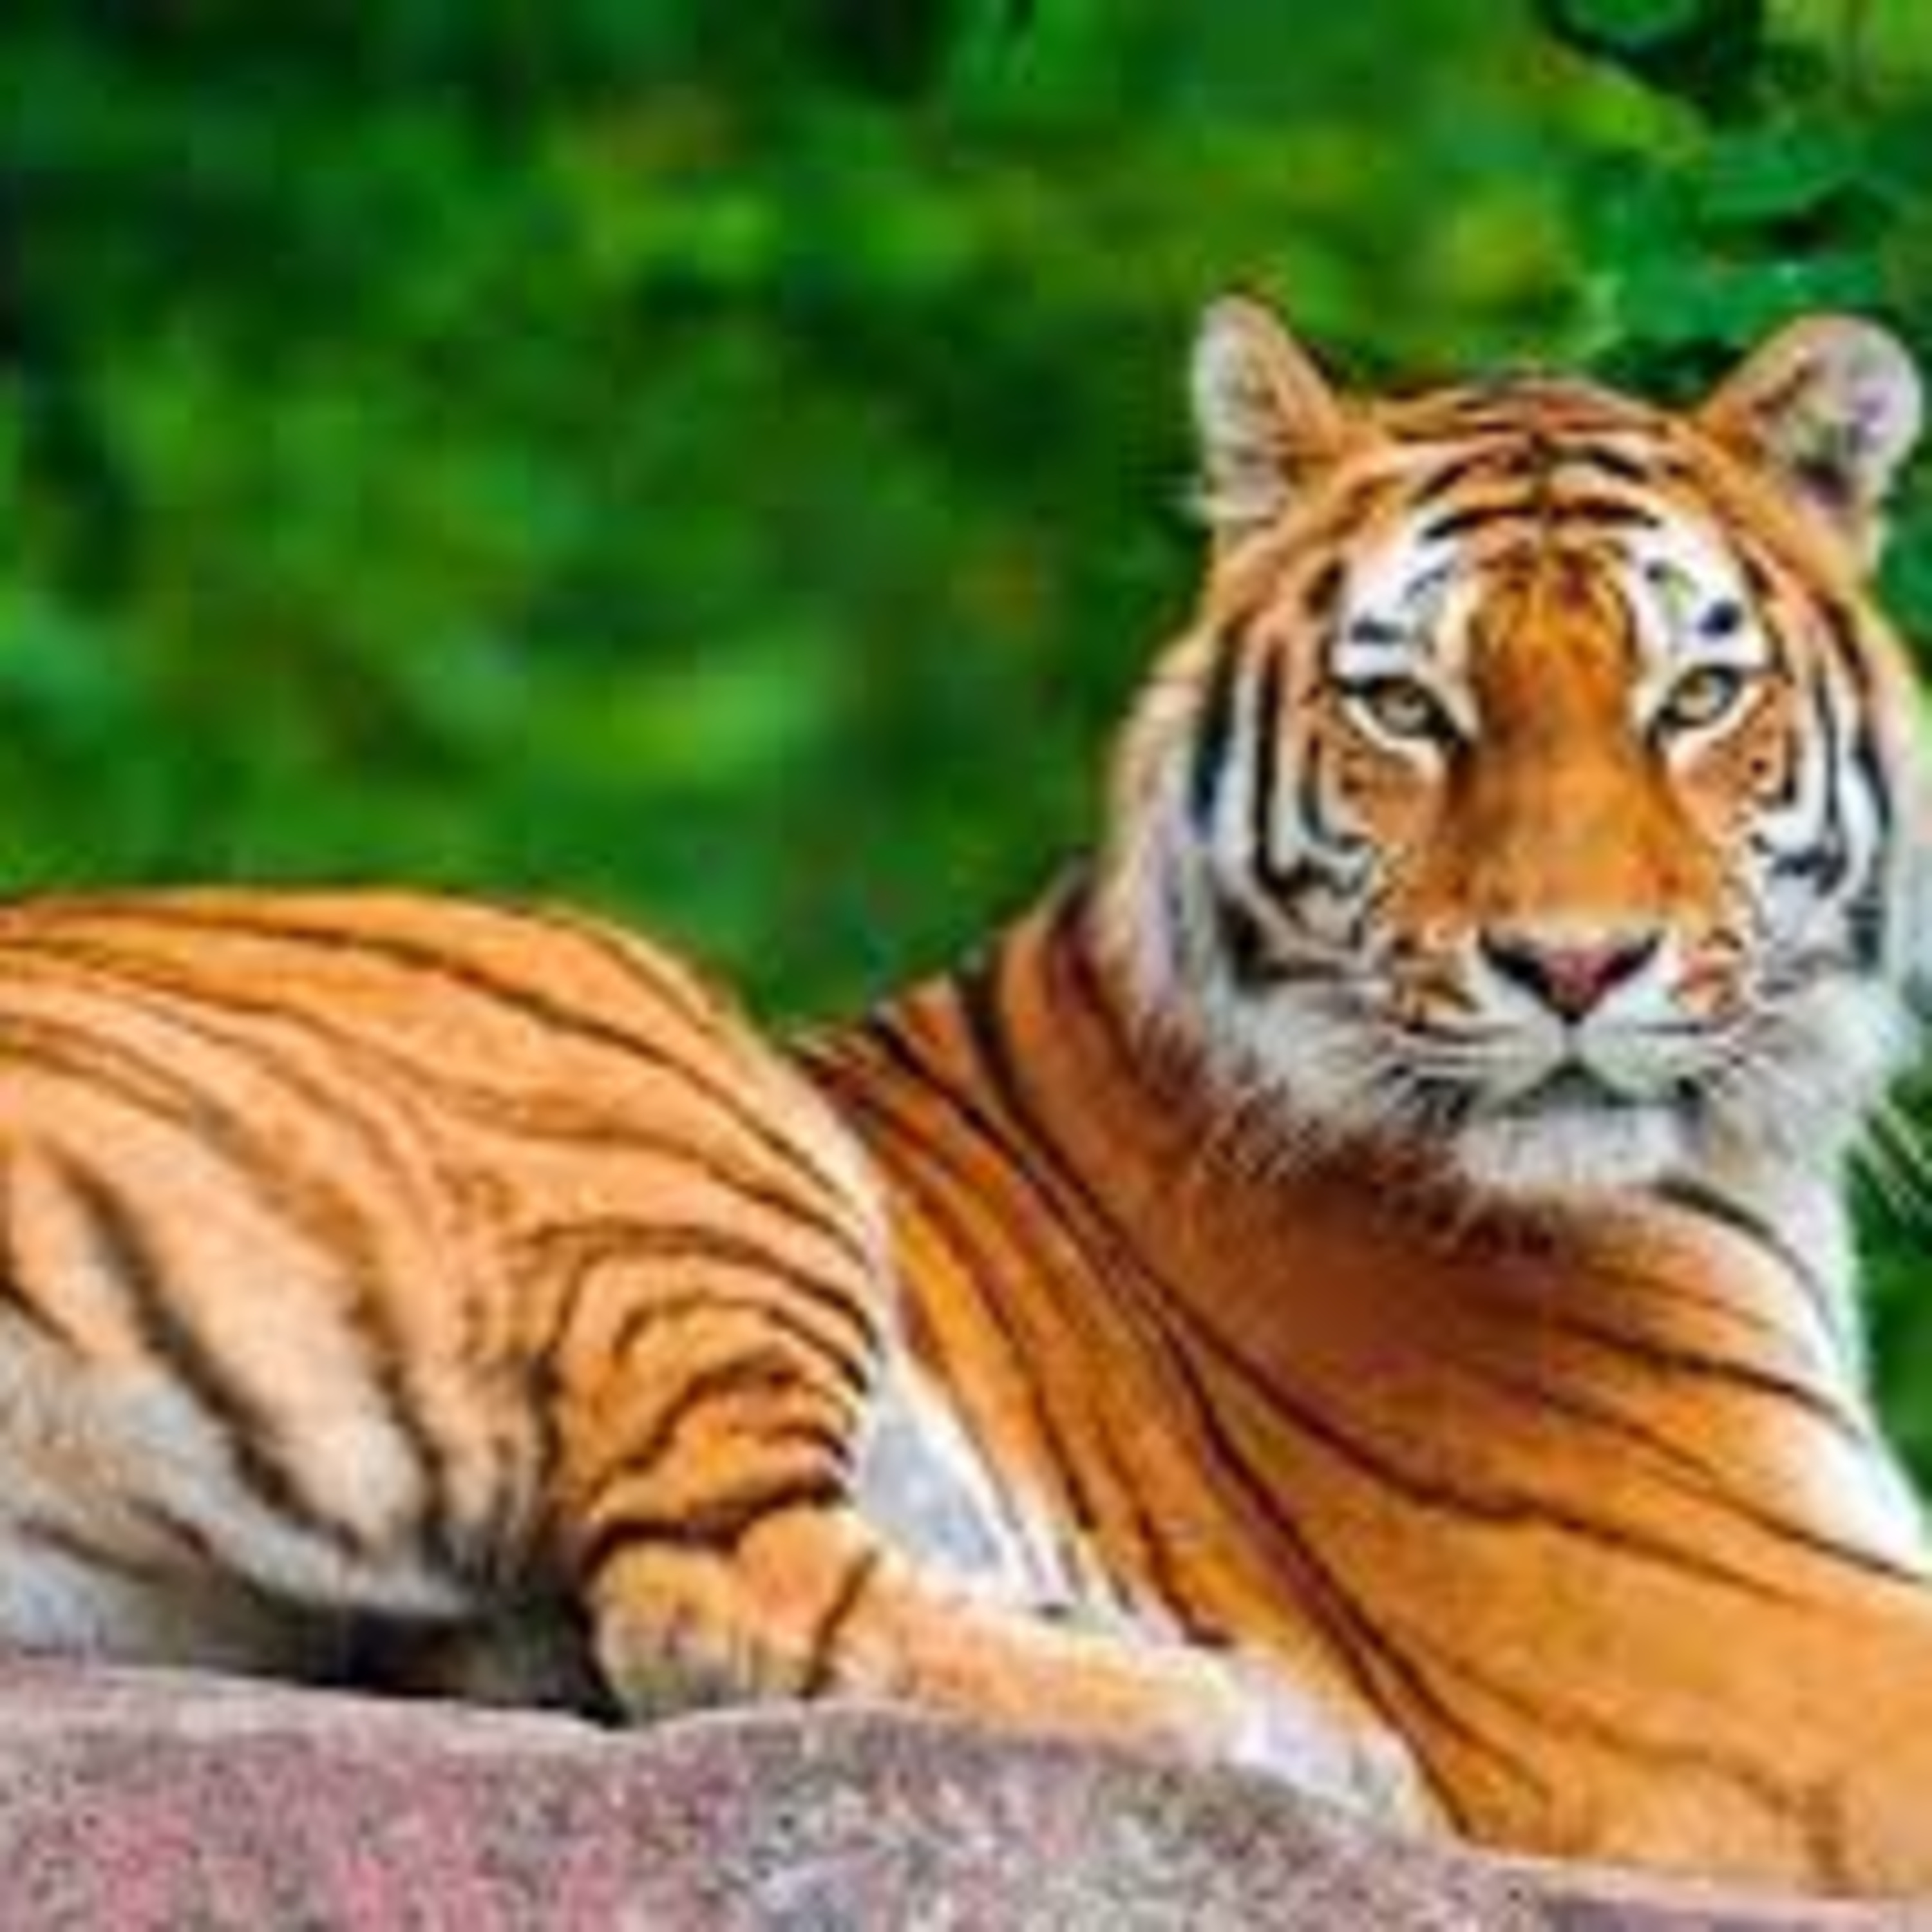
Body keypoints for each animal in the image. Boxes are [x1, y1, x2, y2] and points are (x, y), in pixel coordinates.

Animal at [1, 297, 1932, 1896]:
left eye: (1695, 698)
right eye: (1405, 707)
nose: (1572, 966)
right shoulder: (1737, 1640)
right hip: (664, 1082)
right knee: (717, 1601)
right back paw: (1280, 1734)